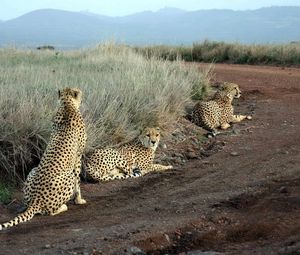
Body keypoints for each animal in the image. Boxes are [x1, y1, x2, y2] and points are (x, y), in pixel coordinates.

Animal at [0, 87, 86, 231]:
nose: (82, 94)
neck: (67, 106)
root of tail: (36, 200)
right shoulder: (78, 156)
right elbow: (78, 181)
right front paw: (79, 200)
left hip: (33, 170)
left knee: (28, 204)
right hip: (67, 177)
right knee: (49, 212)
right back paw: (63, 206)